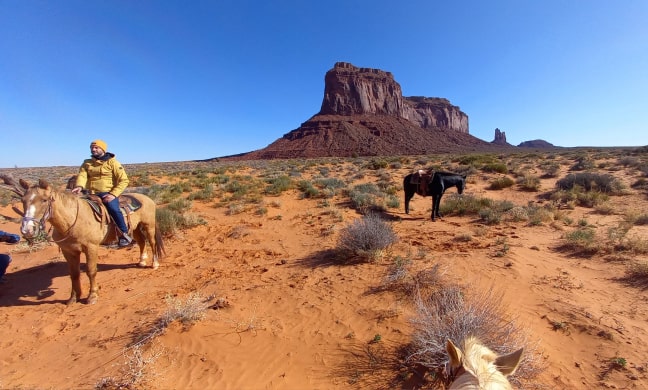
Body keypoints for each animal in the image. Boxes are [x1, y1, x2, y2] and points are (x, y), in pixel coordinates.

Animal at [0, 176, 166, 304]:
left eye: (44, 200)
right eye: (23, 200)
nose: (27, 230)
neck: (72, 220)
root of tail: (147, 198)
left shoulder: (91, 247)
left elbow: (91, 271)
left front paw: (92, 296)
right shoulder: (69, 251)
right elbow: (74, 274)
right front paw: (74, 298)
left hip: (149, 225)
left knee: (152, 242)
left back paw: (154, 264)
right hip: (135, 228)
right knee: (141, 242)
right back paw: (142, 261)